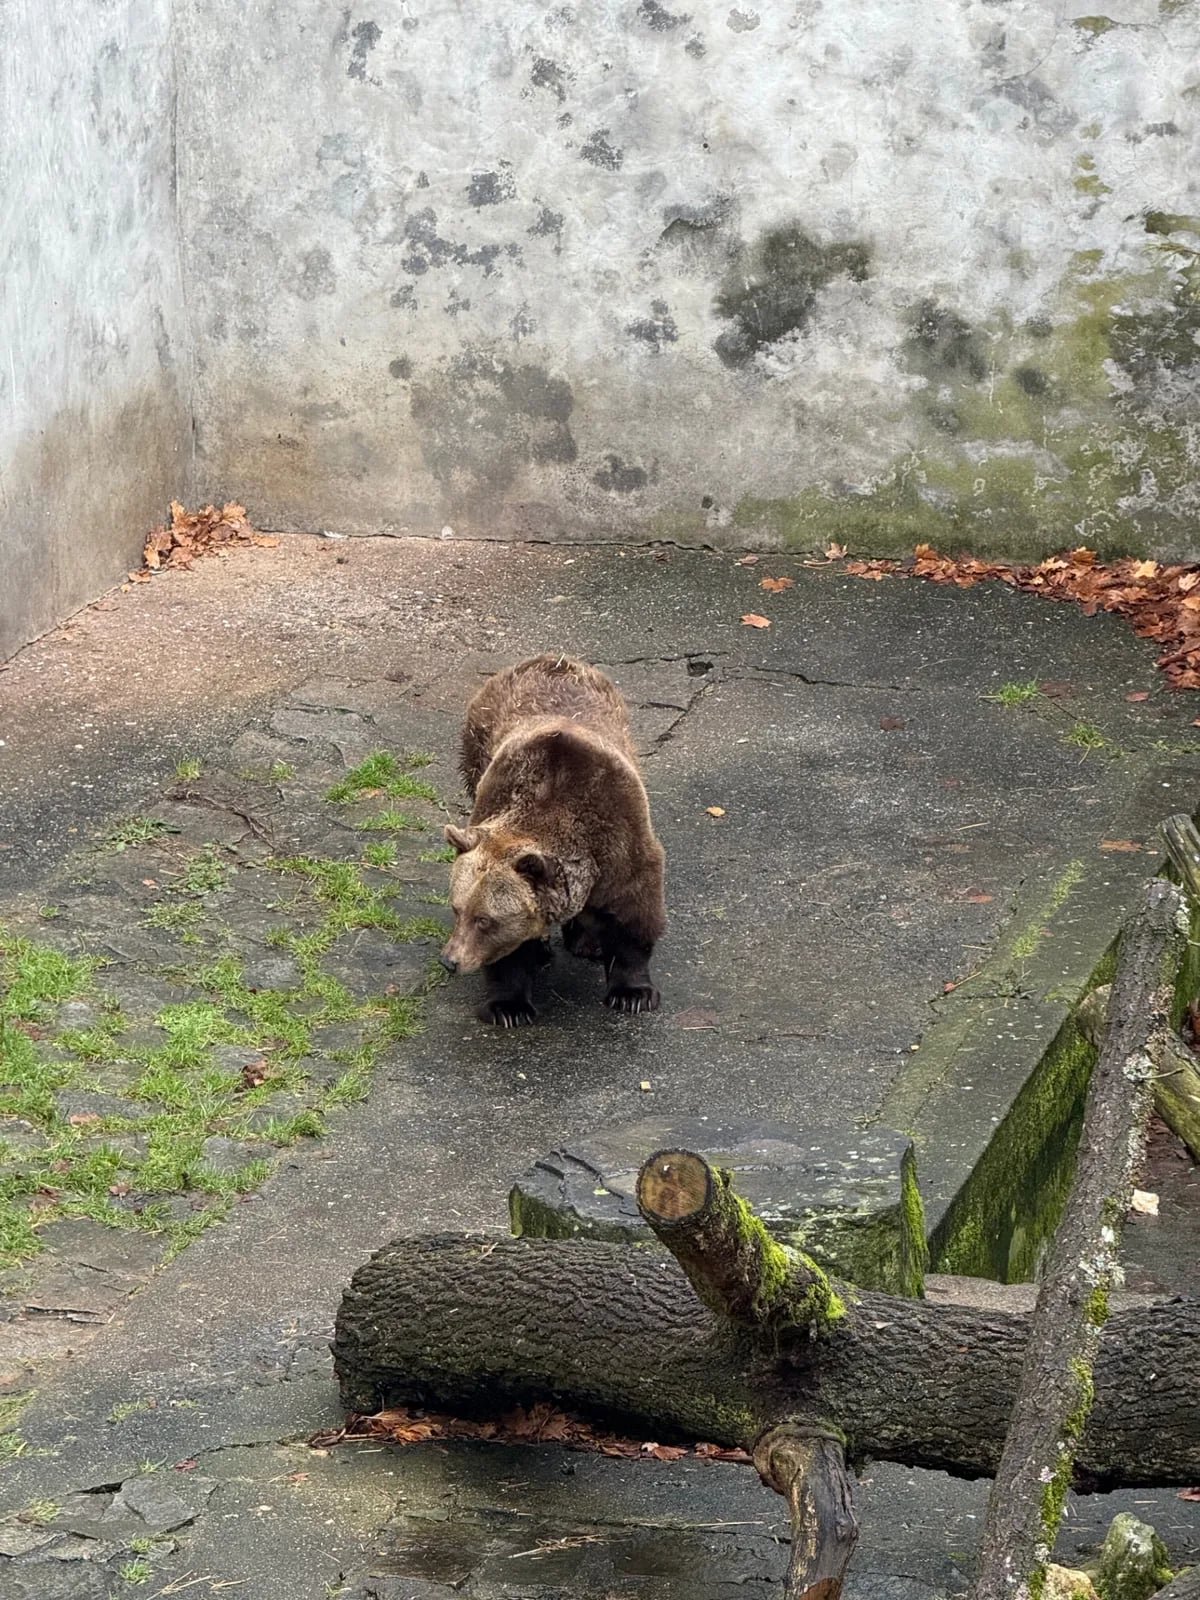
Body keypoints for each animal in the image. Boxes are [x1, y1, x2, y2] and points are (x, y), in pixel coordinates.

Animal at [439, 653, 667, 1027]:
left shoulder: (621, 838)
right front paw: (509, 1006)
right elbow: (511, 956)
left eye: (484, 920)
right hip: (477, 747)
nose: (450, 960)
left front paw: (632, 993)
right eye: (458, 910)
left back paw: (587, 942)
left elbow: (633, 915)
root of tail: (551, 659)